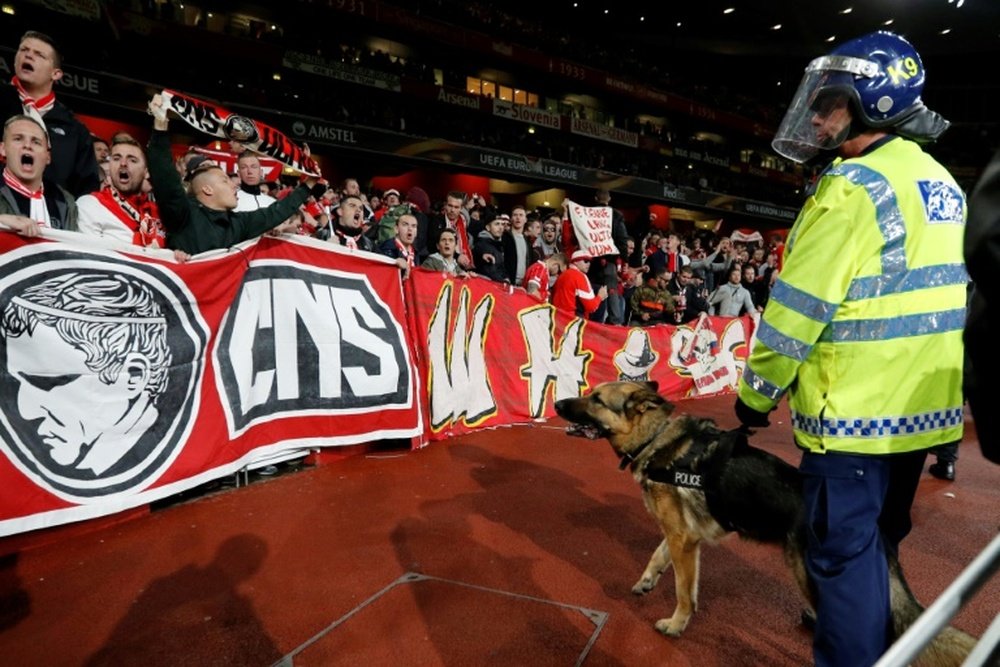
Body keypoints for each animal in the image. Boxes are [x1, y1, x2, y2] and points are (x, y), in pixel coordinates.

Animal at [552, 380, 972, 667]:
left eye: (596, 400)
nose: (556, 403)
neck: (655, 439)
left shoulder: (684, 541)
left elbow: (685, 591)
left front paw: (676, 624)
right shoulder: (681, 535)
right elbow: (659, 556)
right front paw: (647, 580)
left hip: (809, 576)